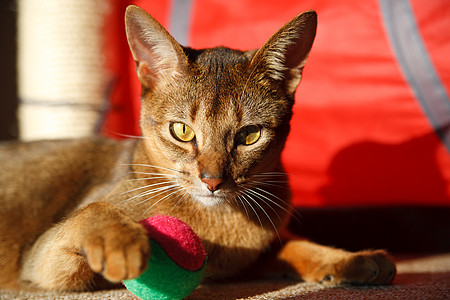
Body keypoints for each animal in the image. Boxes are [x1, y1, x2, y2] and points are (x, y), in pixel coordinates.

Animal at [0, 4, 394, 290]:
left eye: (249, 135)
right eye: (182, 131)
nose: (212, 181)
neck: (217, 226)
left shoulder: (254, 252)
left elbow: (294, 243)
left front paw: (353, 260)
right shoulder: (43, 263)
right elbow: (90, 212)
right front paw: (122, 241)